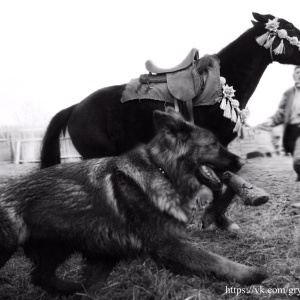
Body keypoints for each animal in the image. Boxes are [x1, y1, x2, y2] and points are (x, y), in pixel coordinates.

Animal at [0, 108, 268, 298]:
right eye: (213, 145)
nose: (241, 162)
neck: (163, 171)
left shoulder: (106, 253)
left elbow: (94, 281)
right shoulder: (169, 245)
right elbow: (217, 261)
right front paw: (253, 274)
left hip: (60, 244)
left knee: (40, 277)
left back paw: (68, 288)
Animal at [41, 12, 300, 230]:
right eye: (288, 28)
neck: (220, 86)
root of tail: (75, 108)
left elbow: (223, 183)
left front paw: (221, 220)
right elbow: (222, 184)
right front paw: (213, 217)